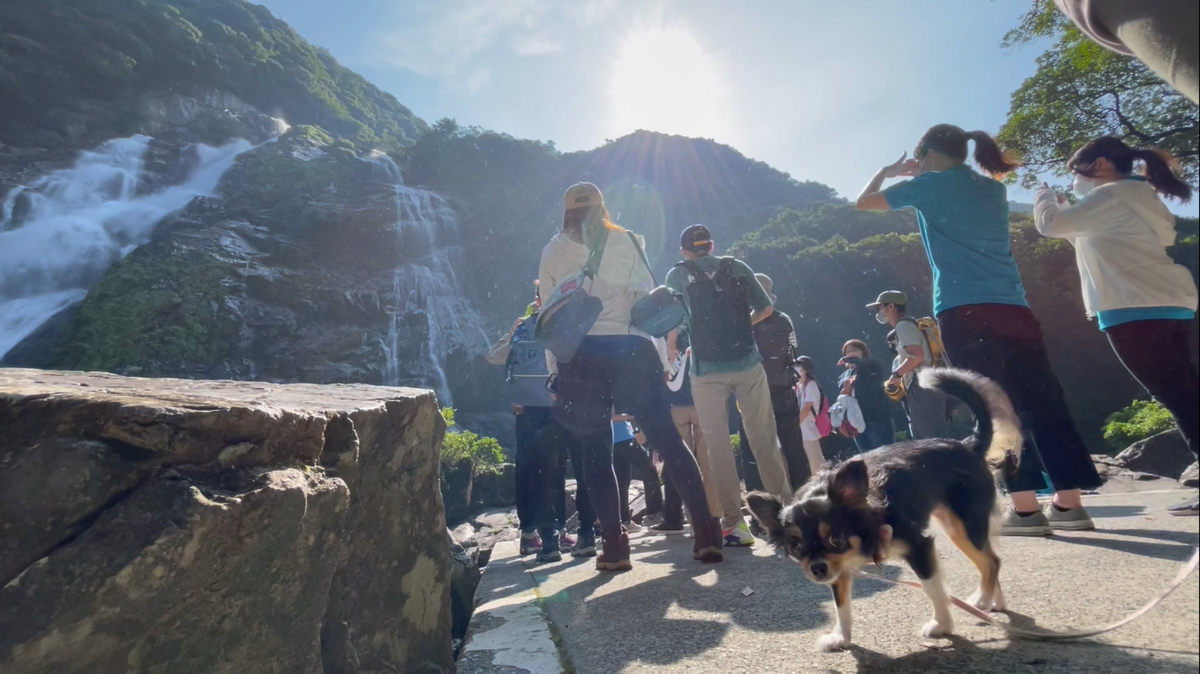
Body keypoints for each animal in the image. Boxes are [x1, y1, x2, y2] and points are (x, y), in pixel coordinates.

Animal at [748, 366, 1022, 652]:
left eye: (836, 539)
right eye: (795, 547)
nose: (817, 568)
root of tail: (968, 444)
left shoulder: (919, 547)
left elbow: (933, 589)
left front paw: (942, 625)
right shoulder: (838, 568)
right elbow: (841, 605)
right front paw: (840, 637)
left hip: (966, 524)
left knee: (992, 561)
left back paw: (982, 599)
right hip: (955, 527)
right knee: (989, 559)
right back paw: (994, 602)